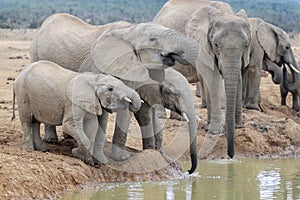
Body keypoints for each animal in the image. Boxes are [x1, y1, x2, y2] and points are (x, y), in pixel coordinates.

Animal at [12, 60, 141, 166]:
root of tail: (18, 77)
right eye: (110, 89)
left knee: (36, 121)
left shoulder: (91, 102)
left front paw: (87, 160)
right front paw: (77, 154)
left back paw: (42, 149)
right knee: (27, 120)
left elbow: (92, 126)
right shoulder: (73, 103)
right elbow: (69, 125)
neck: (94, 79)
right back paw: (29, 149)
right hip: (23, 92)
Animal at [30, 14, 200, 173]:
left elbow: (130, 109)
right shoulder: (98, 66)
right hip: (35, 55)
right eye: (153, 39)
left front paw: (131, 156)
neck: (129, 31)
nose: (188, 170)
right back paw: (51, 141)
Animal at [154, 1, 252, 158]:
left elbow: (237, 77)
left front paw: (237, 126)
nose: (231, 155)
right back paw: (162, 116)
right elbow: (212, 77)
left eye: (246, 44)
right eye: (216, 44)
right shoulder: (202, 44)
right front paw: (215, 131)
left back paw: (180, 118)